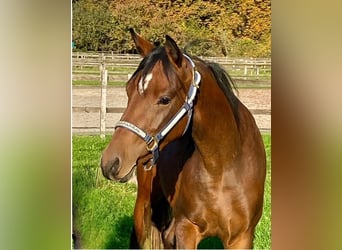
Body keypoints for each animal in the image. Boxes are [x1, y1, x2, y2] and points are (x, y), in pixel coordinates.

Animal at [101, 29, 268, 248]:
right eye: (128, 90)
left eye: (165, 99)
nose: (110, 162)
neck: (224, 166)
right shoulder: (186, 229)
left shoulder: (242, 237)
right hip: (144, 207)